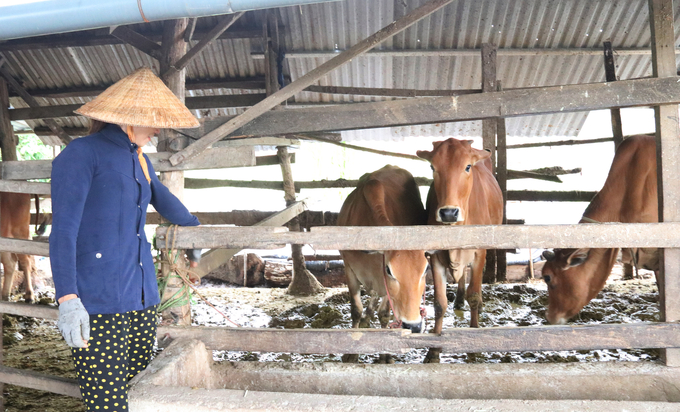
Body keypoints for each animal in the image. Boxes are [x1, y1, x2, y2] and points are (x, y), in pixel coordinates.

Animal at [338, 164, 428, 334]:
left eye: (426, 269)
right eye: (389, 270)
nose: (414, 326)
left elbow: (384, 314)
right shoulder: (349, 267)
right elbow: (356, 310)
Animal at [414, 140, 504, 362]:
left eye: (468, 166)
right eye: (433, 167)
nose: (448, 213)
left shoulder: (479, 253)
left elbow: (474, 295)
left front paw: (473, 344)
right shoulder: (435, 256)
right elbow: (439, 303)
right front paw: (433, 350)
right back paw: (459, 299)